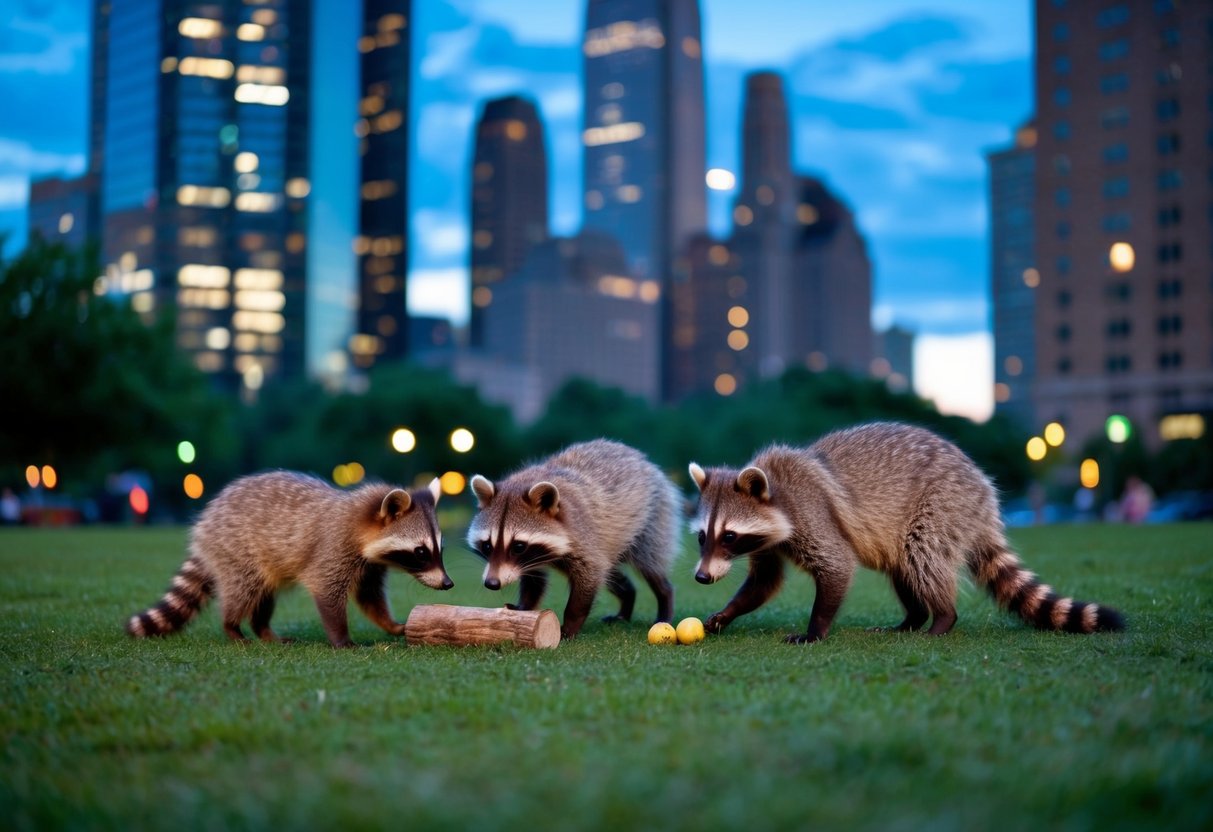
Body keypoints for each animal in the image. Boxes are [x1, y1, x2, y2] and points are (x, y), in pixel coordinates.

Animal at [125, 473, 453, 650]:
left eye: (440, 549)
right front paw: (341, 638)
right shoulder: (333, 550)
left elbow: (369, 597)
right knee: (243, 589)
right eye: (421, 552)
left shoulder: (368, 565)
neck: (361, 520)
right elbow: (327, 592)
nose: (448, 583)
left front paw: (390, 623)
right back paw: (232, 626)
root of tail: (207, 521)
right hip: (236, 549)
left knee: (263, 596)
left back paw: (263, 630)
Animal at [465, 439, 684, 640]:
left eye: (518, 546)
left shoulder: (582, 536)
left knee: (648, 564)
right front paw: (525, 605)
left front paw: (570, 624)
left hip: (653, 518)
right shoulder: (531, 559)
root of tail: (643, 459)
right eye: (487, 545)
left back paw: (664, 598)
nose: (492, 583)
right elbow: (535, 579)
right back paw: (627, 600)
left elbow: (589, 576)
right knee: (610, 573)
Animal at [688, 424, 1120, 645]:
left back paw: (941, 617)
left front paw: (815, 629)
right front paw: (728, 612)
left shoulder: (812, 514)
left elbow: (837, 565)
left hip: (944, 503)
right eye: (702, 537)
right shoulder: (769, 540)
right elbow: (764, 581)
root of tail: (984, 493)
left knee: (923, 556)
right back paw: (913, 616)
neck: (775, 488)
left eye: (729, 536)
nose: (701, 577)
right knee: (905, 567)